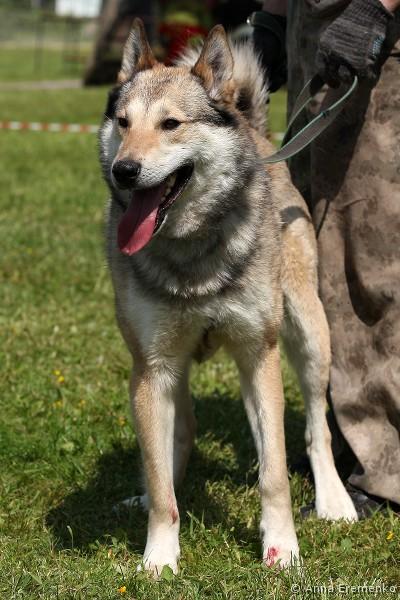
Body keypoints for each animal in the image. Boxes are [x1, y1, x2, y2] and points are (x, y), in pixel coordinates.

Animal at [99, 19, 357, 576]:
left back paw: (334, 499)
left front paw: (282, 548)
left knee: (316, 428)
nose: (123, 171)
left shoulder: (259, 354)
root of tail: (255, 131)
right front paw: (160, 557)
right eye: (123, 123)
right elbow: (161, 481)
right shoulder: (152, 366)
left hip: (309, 336)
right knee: (179, 438)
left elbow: (275, 473)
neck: (192, 250)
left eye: (171, 124)